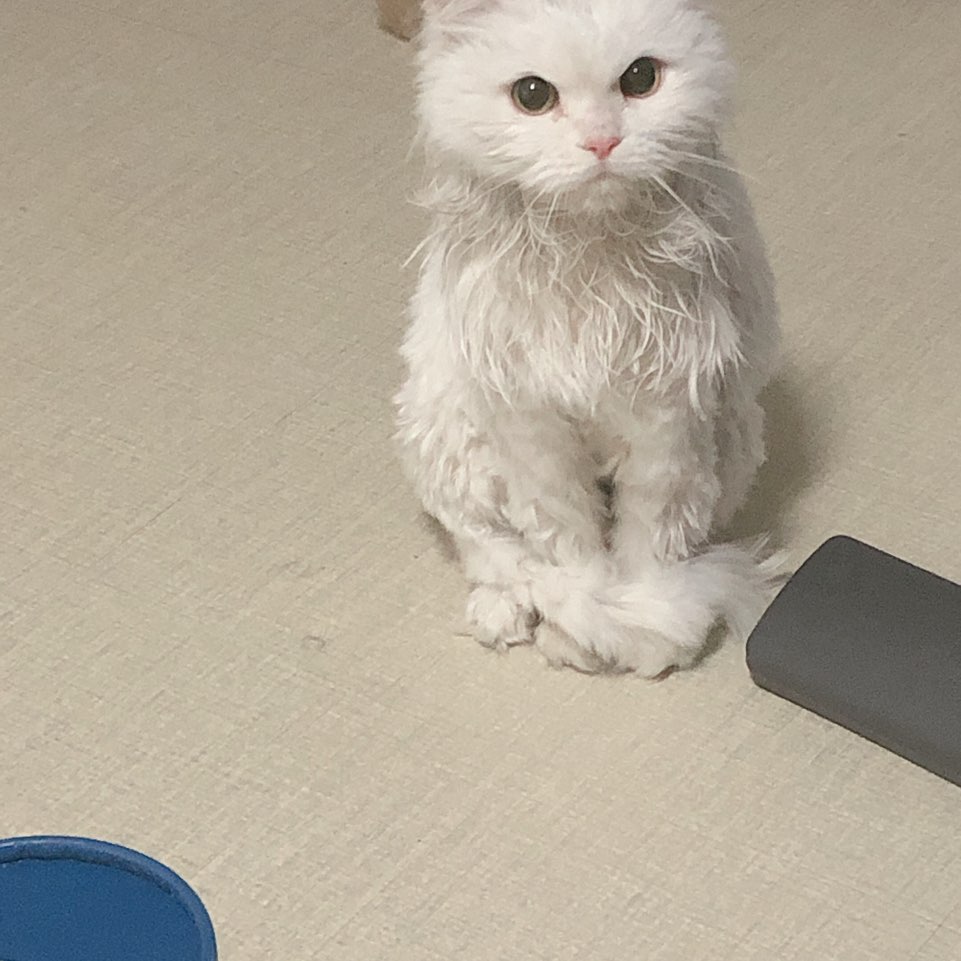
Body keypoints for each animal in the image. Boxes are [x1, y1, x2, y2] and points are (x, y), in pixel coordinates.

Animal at [395, 0, 784, 676]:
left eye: (640, 79)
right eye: (532, 95)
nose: (602, 141)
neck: (592, 261)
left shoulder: (667, 414)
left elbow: (650, 536)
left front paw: (642, 618)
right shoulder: (531, 421)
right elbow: (565, 536)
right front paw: (588, 608)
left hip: (735, 436)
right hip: (445, 432)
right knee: (485, 546)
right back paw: (504, 613)